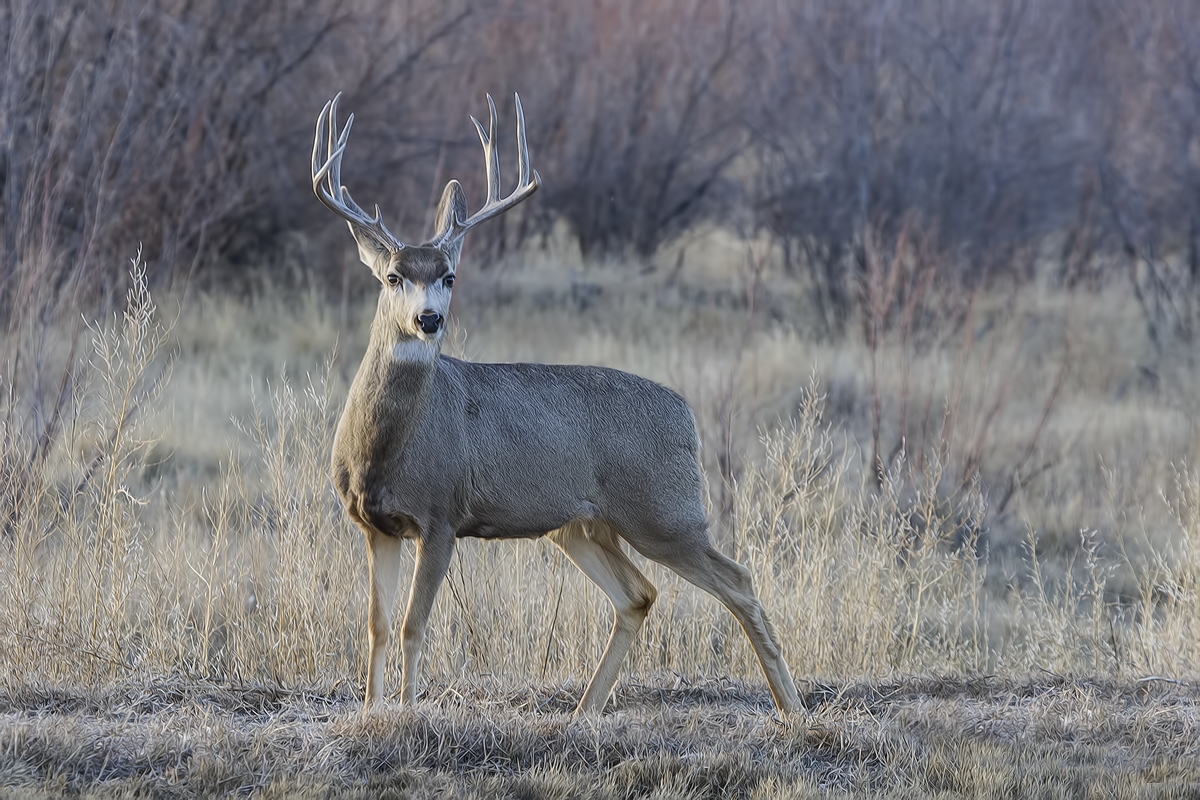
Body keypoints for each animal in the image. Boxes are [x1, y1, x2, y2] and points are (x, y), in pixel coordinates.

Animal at [314, 92, 801, 714]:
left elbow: (411, 627)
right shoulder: (374, 525)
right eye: (394, 276)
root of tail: (688, 417)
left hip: (665, 512)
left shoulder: (441, 515)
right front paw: (371, 712)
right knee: (639, 593)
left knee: (737, 581)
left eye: (449, 276)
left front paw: (405, 712)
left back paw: (793, 708)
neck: (383, 452)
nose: (429, 319)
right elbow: (376, 626)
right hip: (582, 525)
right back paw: (584, 710)